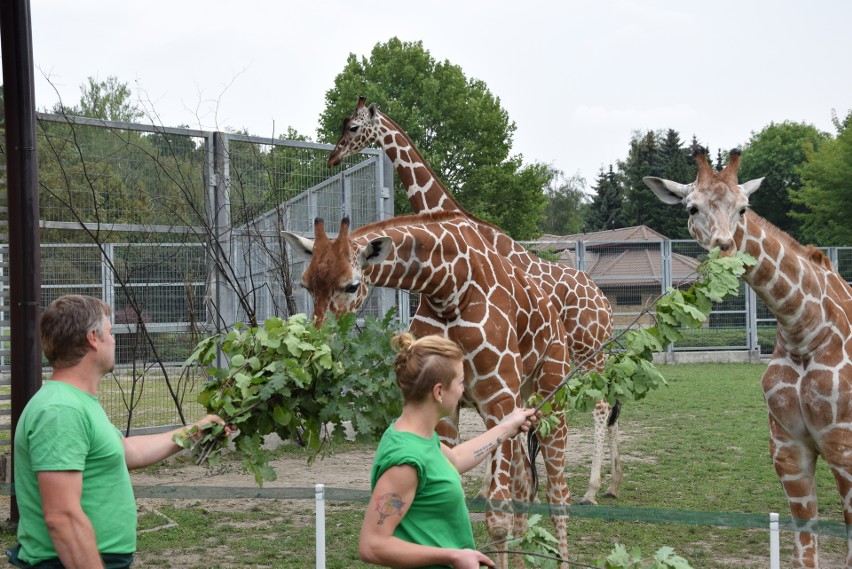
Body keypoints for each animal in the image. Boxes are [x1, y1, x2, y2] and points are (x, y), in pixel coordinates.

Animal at [284, 211, 572, 564]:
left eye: (351, 285)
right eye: (306, 283)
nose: (318, 345)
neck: (449, 287)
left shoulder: (499, 397)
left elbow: (497, 514)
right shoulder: (450, 408)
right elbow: (449, 493)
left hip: (551, 397)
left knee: (558, 492)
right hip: (520, 404)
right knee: (524, 486)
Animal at [326, 98, 620, 506]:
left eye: (353, 127)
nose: (333, 157)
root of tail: (604, 302)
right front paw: (493, 488)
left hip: (589, 352)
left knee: (601, 406)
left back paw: (591, 490)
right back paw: (611, 484)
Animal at [644, 148, 852, 568]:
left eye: (743, 208)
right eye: (691, 207)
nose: (724, 248)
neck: (804, 329)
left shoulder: (845, 449)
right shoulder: (789, 451)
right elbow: (804, 553)